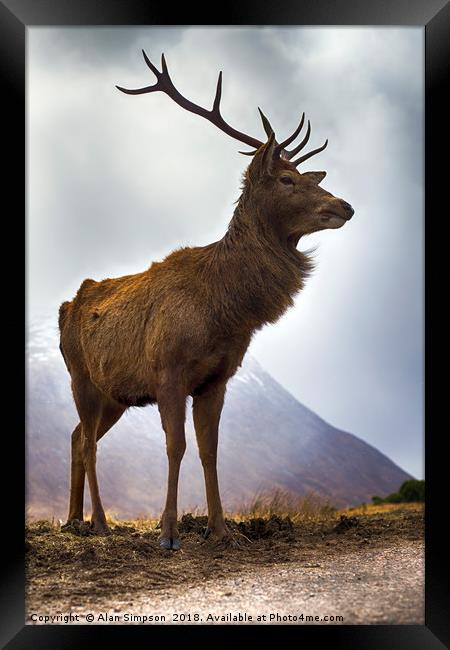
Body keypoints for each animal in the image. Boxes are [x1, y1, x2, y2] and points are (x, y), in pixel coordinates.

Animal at [59, 52, 356, 548]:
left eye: (304, 176)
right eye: (286, 179)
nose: (344, 206)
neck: (225, 311)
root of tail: (66, 307)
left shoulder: (217, 377)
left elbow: (210, 450)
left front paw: (221, 529)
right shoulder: (168, 370)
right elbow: (175, 446)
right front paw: (168, 532)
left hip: (115, 394)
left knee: (78, 435)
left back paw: (73, 519)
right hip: (81, 375)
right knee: (86, 441)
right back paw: (99, 521)